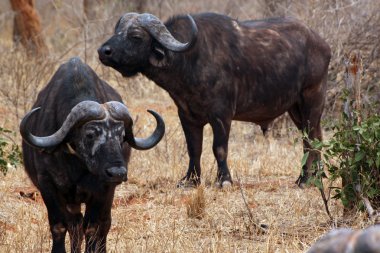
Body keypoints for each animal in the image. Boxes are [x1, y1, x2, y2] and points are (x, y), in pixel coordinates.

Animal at [19, 57, 165, 253]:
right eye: (90, 134)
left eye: (122, 137)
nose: (117, 173)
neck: (75, 165)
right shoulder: (47, 185)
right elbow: (59, 225)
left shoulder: (102, 190)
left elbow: (93, 227)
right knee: (74, 225)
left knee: (103, 224)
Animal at [97, 12, 330, 189]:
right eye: (117, 32)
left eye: (135, 36)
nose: (103, 51)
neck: (190, 60)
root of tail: (323, 44)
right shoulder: (187, 116)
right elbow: (194, 148)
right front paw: (190, 180)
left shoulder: (222, 115)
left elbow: (219, 147)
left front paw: (224, 180)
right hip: (296, 109)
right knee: (315, 137)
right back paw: (316, 177)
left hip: (312, 99)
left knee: (310, 140)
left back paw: (304, 180)